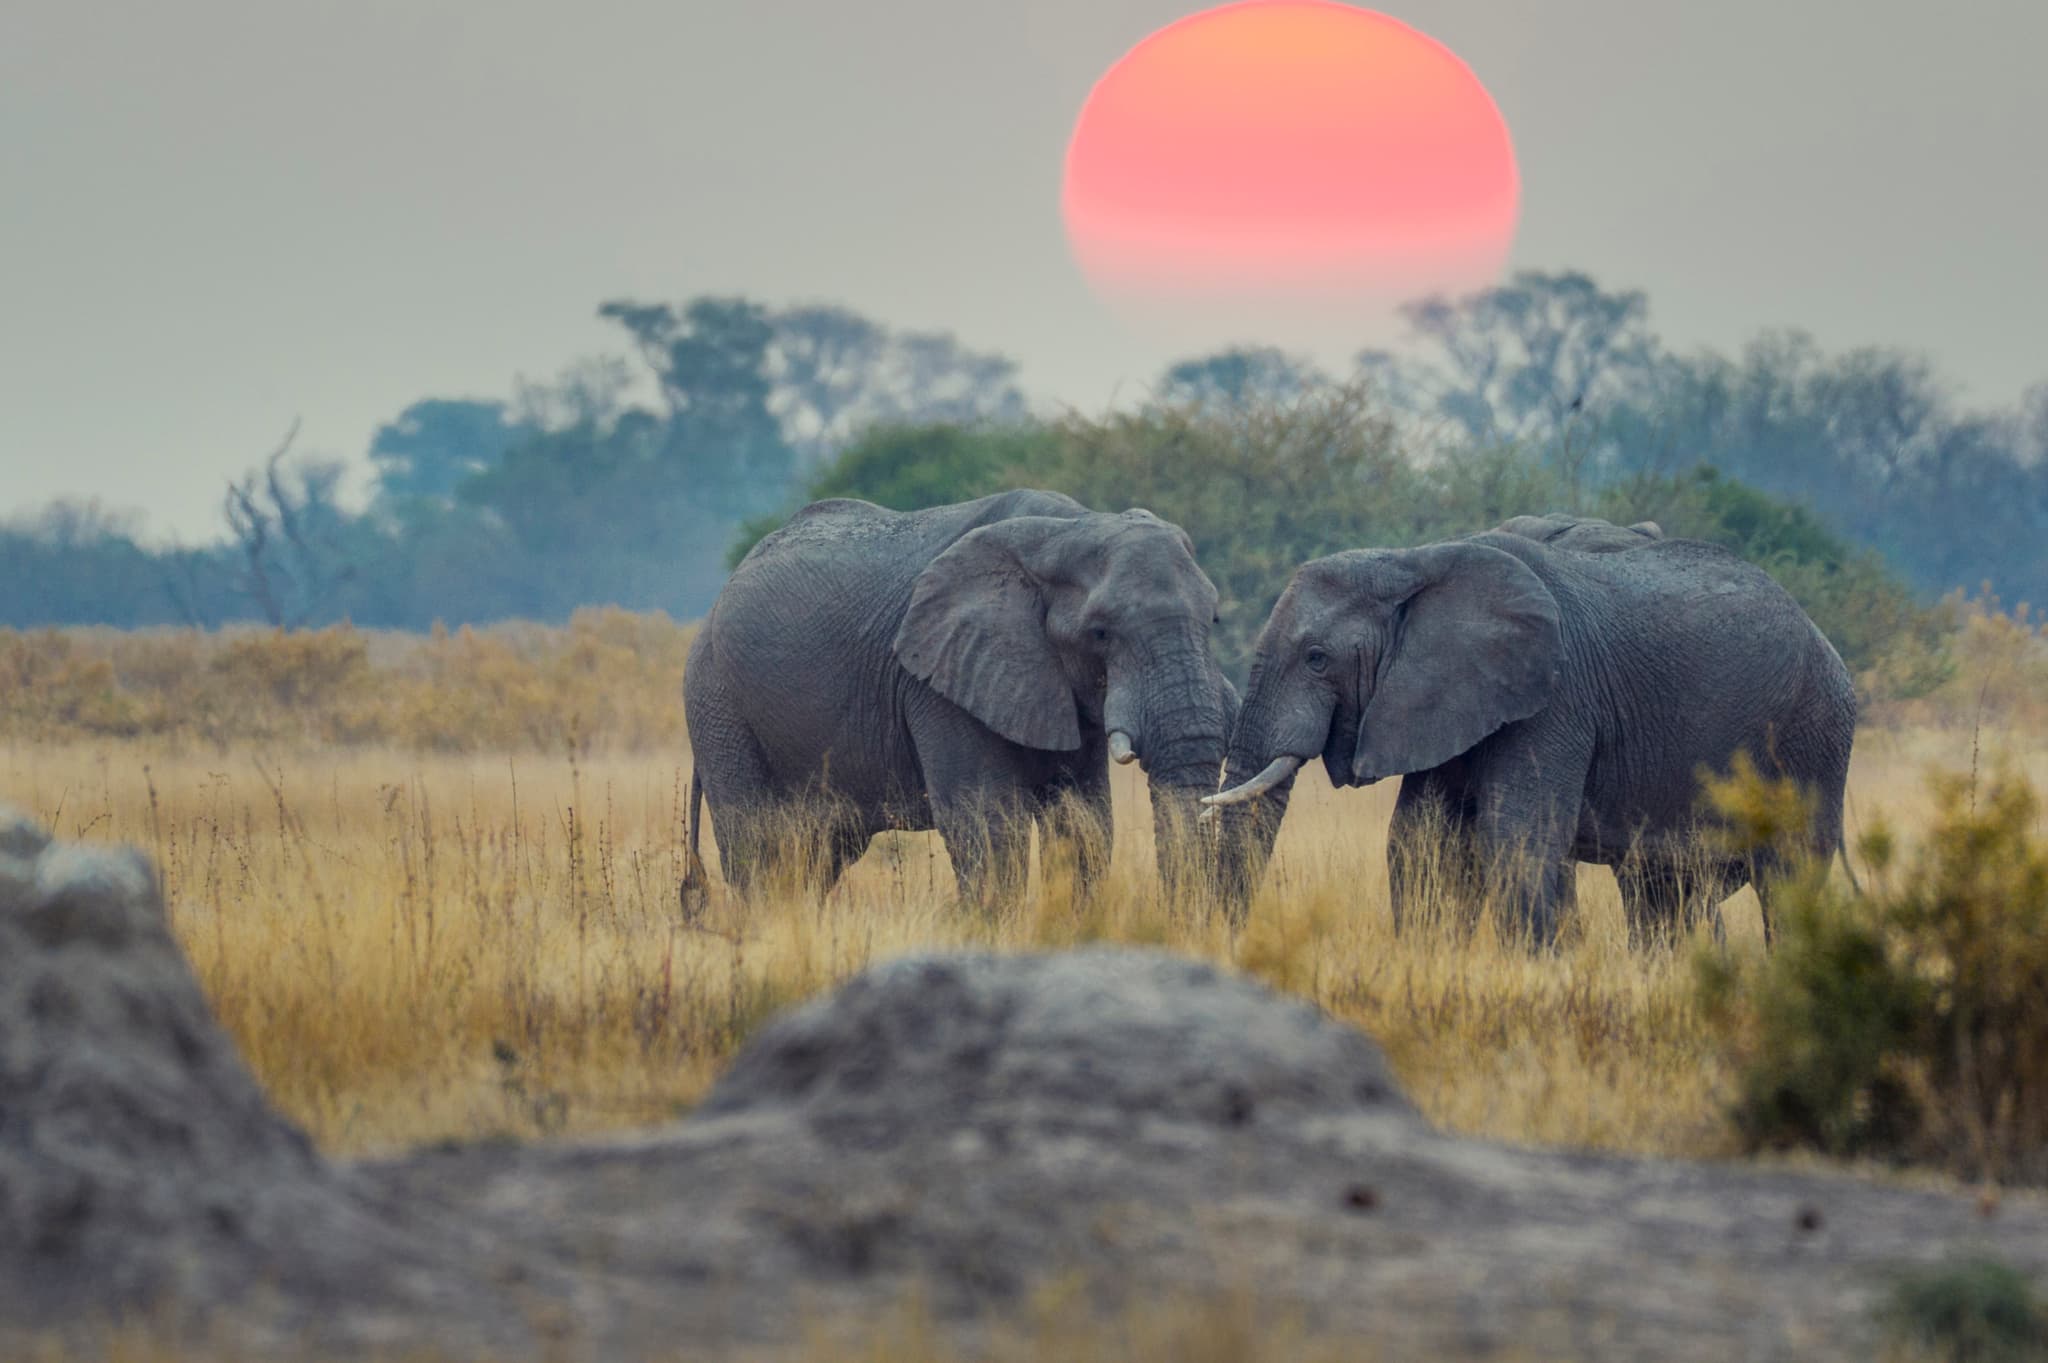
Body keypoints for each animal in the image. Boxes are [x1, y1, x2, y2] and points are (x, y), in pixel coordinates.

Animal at [681, 489, 1236, 909]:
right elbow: (988, 824)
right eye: (1100, 633)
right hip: (717, 702)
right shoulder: (937, 680)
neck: (1069, 528)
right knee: (759, 848)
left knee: (818, 854)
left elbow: (1084, 823)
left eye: (1213, 619)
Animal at [1205, 530, 1856, 946]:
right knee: (1664, 892)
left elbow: (1515, 837)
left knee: (1788, 880)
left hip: (1813, 736)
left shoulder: (1555, 698)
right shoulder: (1444, 698)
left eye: (1316, 658)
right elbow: (1422, 841)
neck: (1413, 561)